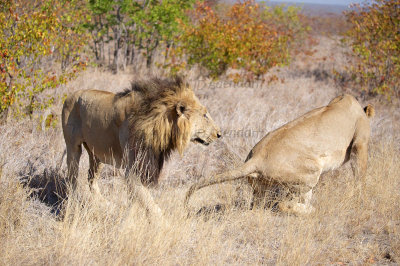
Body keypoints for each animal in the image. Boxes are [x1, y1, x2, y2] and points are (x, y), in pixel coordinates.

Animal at [61, 76, 222, 219]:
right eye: (204, 115)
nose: (219, 134)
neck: (159, 123)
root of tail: (70, 95)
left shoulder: (144, 166)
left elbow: (138, 200)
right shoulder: (133, 168)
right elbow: (150, 204)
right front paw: (164, 226)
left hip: (97, 154)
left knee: (91, 179)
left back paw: (106, 205)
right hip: (73, 147)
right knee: (72, 179)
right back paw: (74, 205)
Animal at [185, 94, 376, 215]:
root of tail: (256, 158)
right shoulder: (360, 143)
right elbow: (360, 176)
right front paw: (362, 201)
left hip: (261, 187)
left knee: (259, 206)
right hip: (311, 172)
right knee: (283, 204)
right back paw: (310, 210)